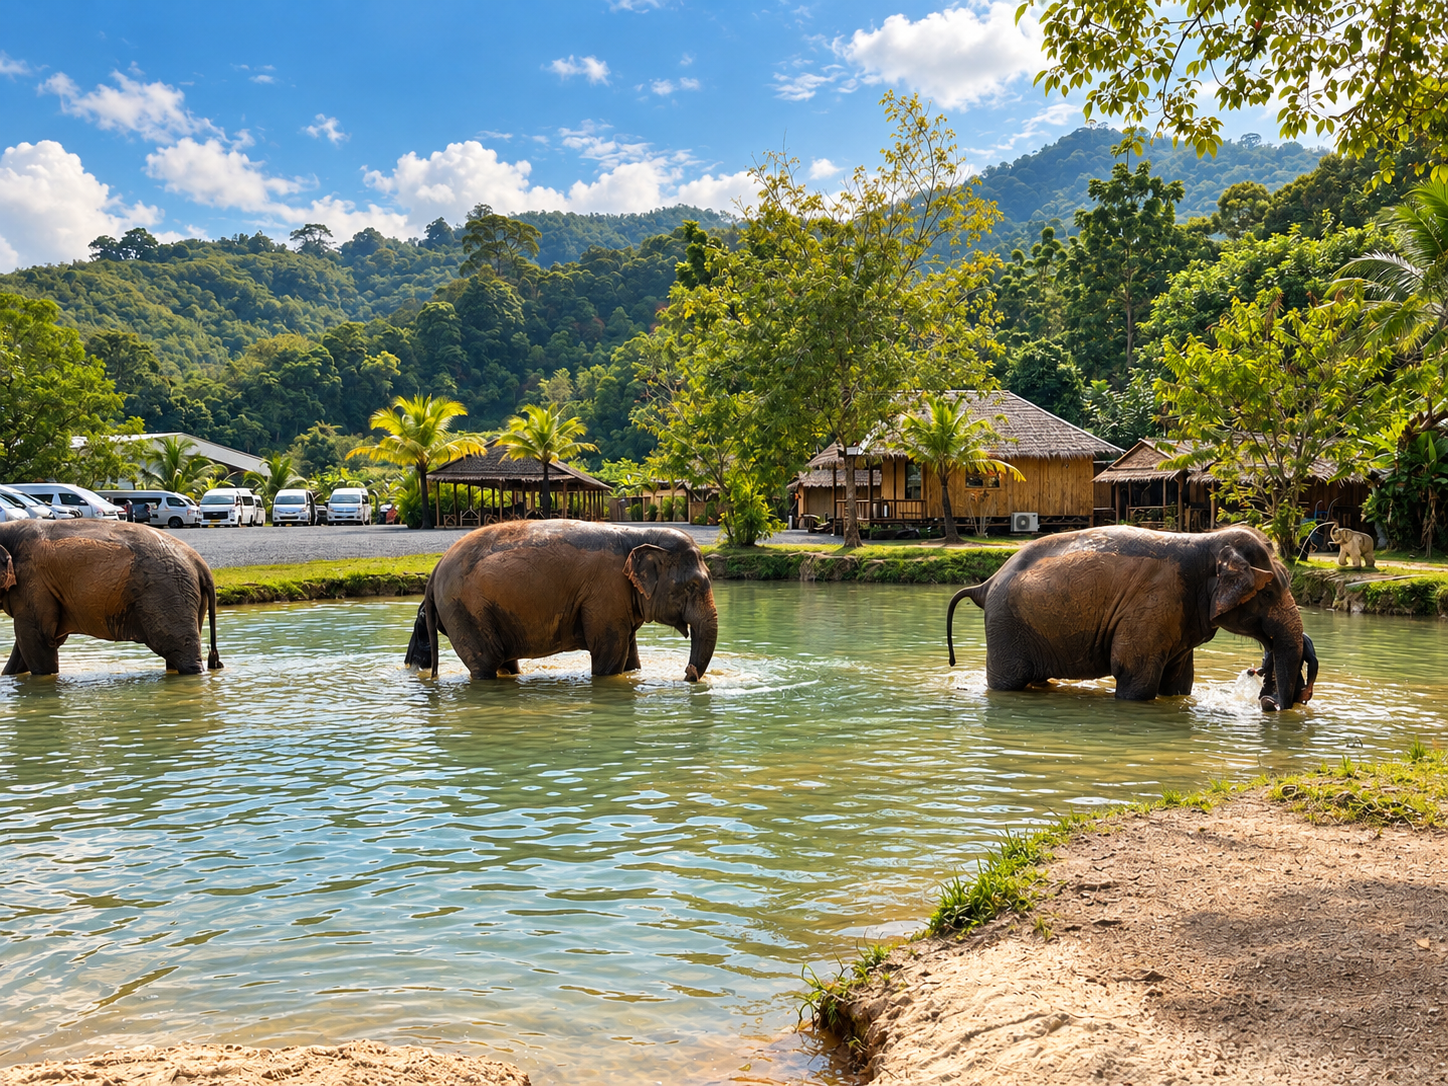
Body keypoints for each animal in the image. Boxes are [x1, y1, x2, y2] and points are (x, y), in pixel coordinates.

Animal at [405, 520, 718, 682]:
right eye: (692, 586)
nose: (688, 672)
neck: (639, 535)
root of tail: (434, 572)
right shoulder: (605, 595)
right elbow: (608, 659)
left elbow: (631, 658)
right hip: (464, 610)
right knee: (485, 664)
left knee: (505, 661)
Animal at [946, 525, 1314, 711]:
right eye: (1267, 593)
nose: (1268, 701)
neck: (1206, 541)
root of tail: (986, 584)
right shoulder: (1152, 606)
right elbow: (1136, 677)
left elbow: (1179, 683)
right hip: (1006, 627)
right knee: (1007, 683)